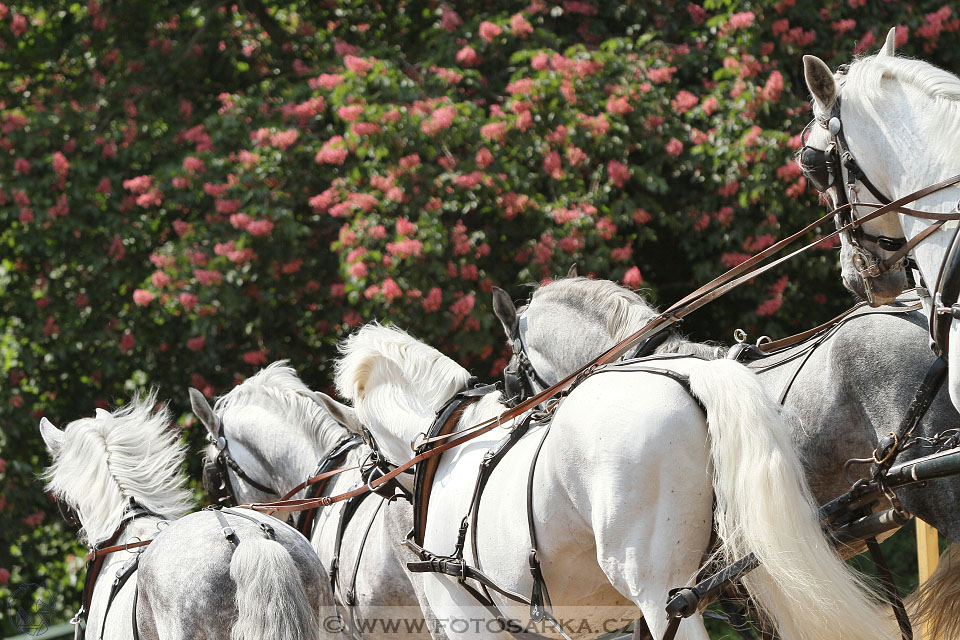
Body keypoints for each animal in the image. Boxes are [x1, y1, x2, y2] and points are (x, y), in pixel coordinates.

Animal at [334, 324, 896, 640]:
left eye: (362, 433)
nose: (368, 478)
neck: (453, 437)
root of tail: (698, 373)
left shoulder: (468, 618)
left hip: (661, 591)